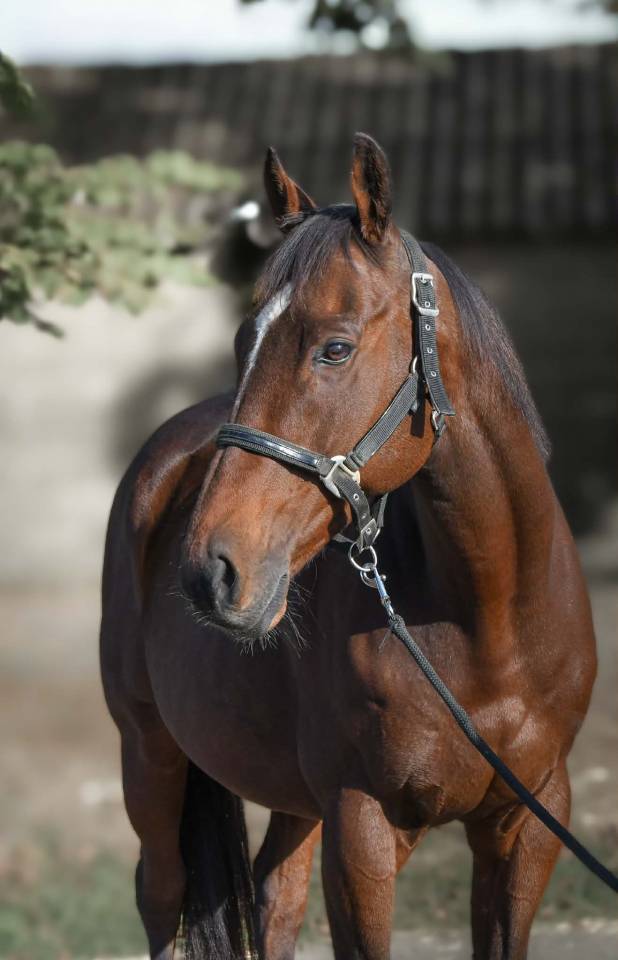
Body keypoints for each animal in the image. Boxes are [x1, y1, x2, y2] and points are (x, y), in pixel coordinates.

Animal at [100, 133, 596, 960]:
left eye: (335, 349)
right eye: (242, 340)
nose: (208, 572)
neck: (489, 619)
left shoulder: (527, 825)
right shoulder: (362, 831)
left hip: (294, 798)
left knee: (274, 899)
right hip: (149, 752)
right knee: (160, 895)